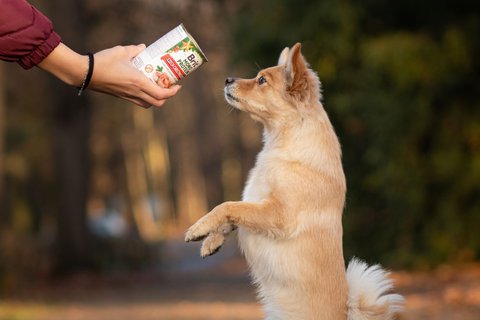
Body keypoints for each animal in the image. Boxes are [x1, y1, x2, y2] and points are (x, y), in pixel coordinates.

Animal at [186, 43, 404, 320]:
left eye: (261, 80)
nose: (227, 79)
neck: (283, 141)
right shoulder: (256, 202)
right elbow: (233, 214)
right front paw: (211, 241)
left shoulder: (277, 214)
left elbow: (227, 206)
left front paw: (199, 228)